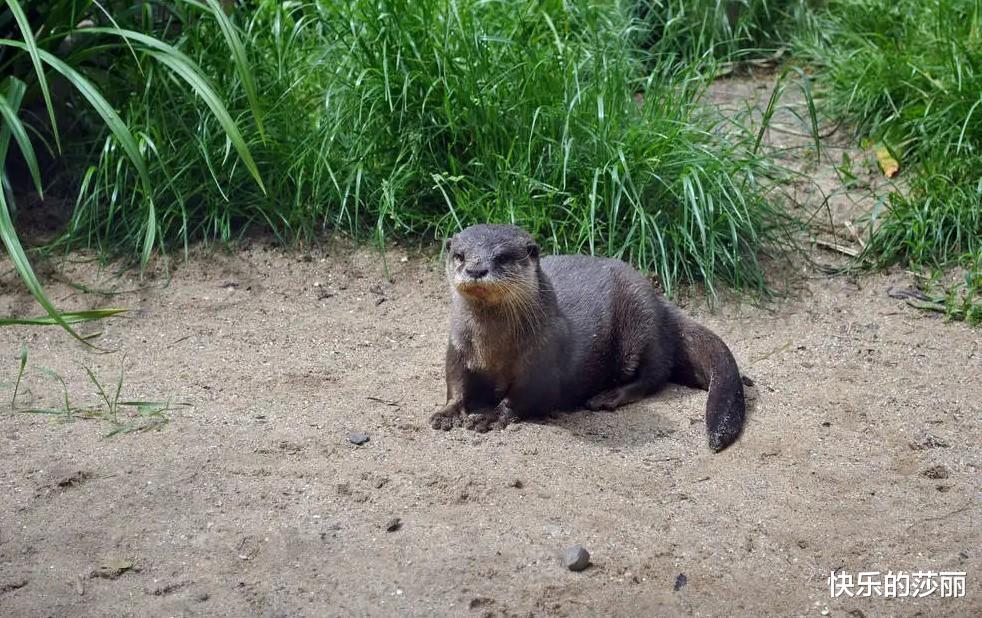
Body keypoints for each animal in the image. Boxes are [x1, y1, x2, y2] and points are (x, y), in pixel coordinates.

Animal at [430, 221, 744, 448]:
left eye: (503, 257)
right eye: (459, 256)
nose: (476, 269)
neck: (492, 348)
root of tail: (659, 299)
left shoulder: (542, 362)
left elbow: (523, 397)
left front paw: (491, 416)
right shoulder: (457, 347)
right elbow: (455, 383)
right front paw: (447, 412)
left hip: (643, 325)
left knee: (655, 375)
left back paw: (608, 396)